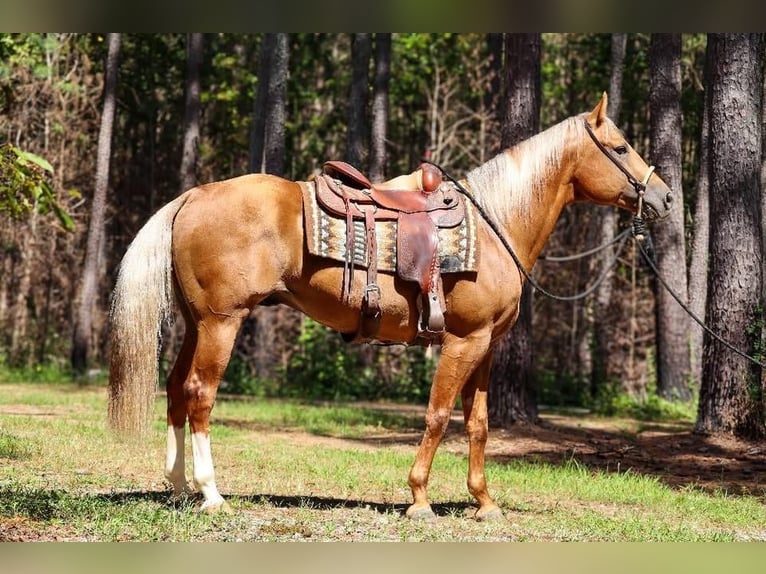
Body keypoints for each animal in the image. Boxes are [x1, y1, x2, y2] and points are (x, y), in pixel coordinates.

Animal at [107, 92, 673, 521]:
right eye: (620, 146)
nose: (665, 198)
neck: (496, 227)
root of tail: (193, 196)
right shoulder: (463, 341)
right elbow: (438, 415)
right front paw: (419, 498)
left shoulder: (486, 346)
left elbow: (479, 424)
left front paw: (484, 502)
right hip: (222, 323)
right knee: (200, 395)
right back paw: (210, 493)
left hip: (194, 323)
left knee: (175, 390)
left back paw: (178, 487)